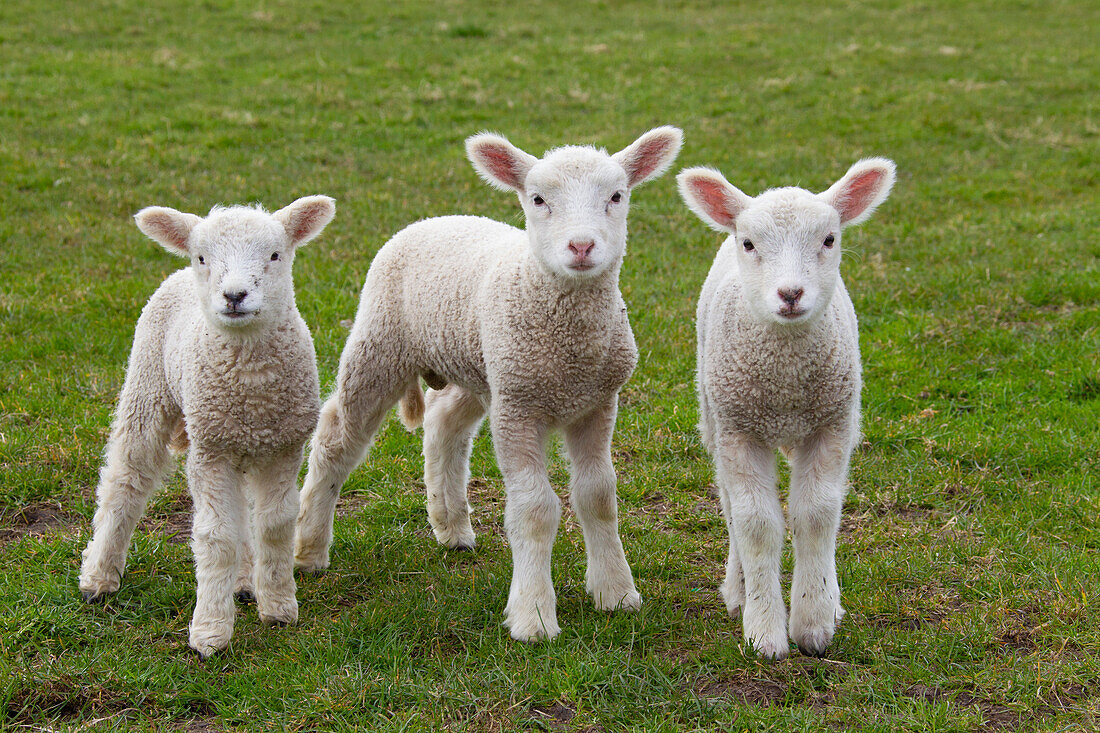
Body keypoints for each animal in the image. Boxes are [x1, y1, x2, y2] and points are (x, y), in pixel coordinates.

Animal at [78, 195, 334, 655]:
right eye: (203, 257)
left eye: (275, 255)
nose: (234, 295)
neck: (250, 387)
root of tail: (176, 275)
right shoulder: (210, 452)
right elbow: (216, 538)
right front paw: (210, 632)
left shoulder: (283, 448)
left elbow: (274, 526)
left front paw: (278, 607)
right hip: (148, 388)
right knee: (126, 479)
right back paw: (99, 577)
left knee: (243, 512)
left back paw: (245, 583)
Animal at [297, 125, 682, 638]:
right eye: (538, 199)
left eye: (617, 196)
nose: (581, 247)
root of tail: (436, 218)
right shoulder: (518, 407)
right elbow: (535, 509)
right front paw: (533, 616)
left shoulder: (597, 402)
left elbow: (598, 496)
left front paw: (616, 593)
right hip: (380, 345)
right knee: (336, 439)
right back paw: (309, 549)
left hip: (480, 370)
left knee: (444, 424)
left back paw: (451, 526)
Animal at [677, 158, 893, 655]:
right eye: (750, 243)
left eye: (829, 239)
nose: (790, 294)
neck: (785, 381)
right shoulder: (739, 428)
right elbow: (756, 523)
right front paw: (764, 632)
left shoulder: (831, 424)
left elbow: (816, 514)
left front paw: (814, 622)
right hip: (714, 415)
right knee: (729, 504)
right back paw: (738, 589)